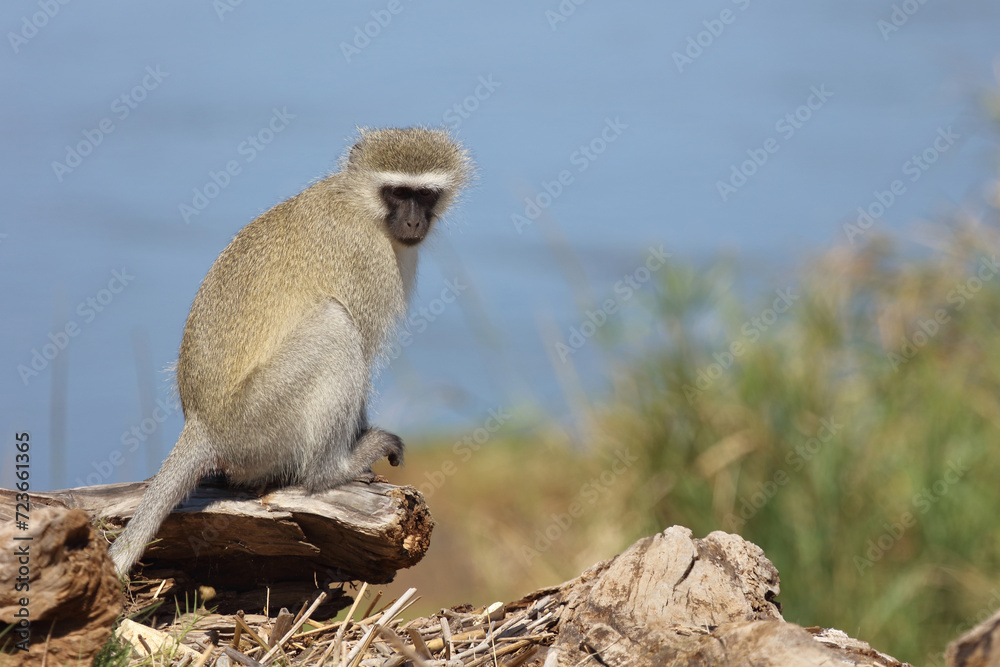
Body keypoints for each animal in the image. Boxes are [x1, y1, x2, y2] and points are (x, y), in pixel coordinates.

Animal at [107, 128, 474, 576]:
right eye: (398, 192)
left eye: (424, 195)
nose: (413, 221)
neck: (361, 205)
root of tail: (202, 424)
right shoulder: (369, 261)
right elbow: (363, 344)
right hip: (257, 422)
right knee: (335, 326)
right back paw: (329, 470)